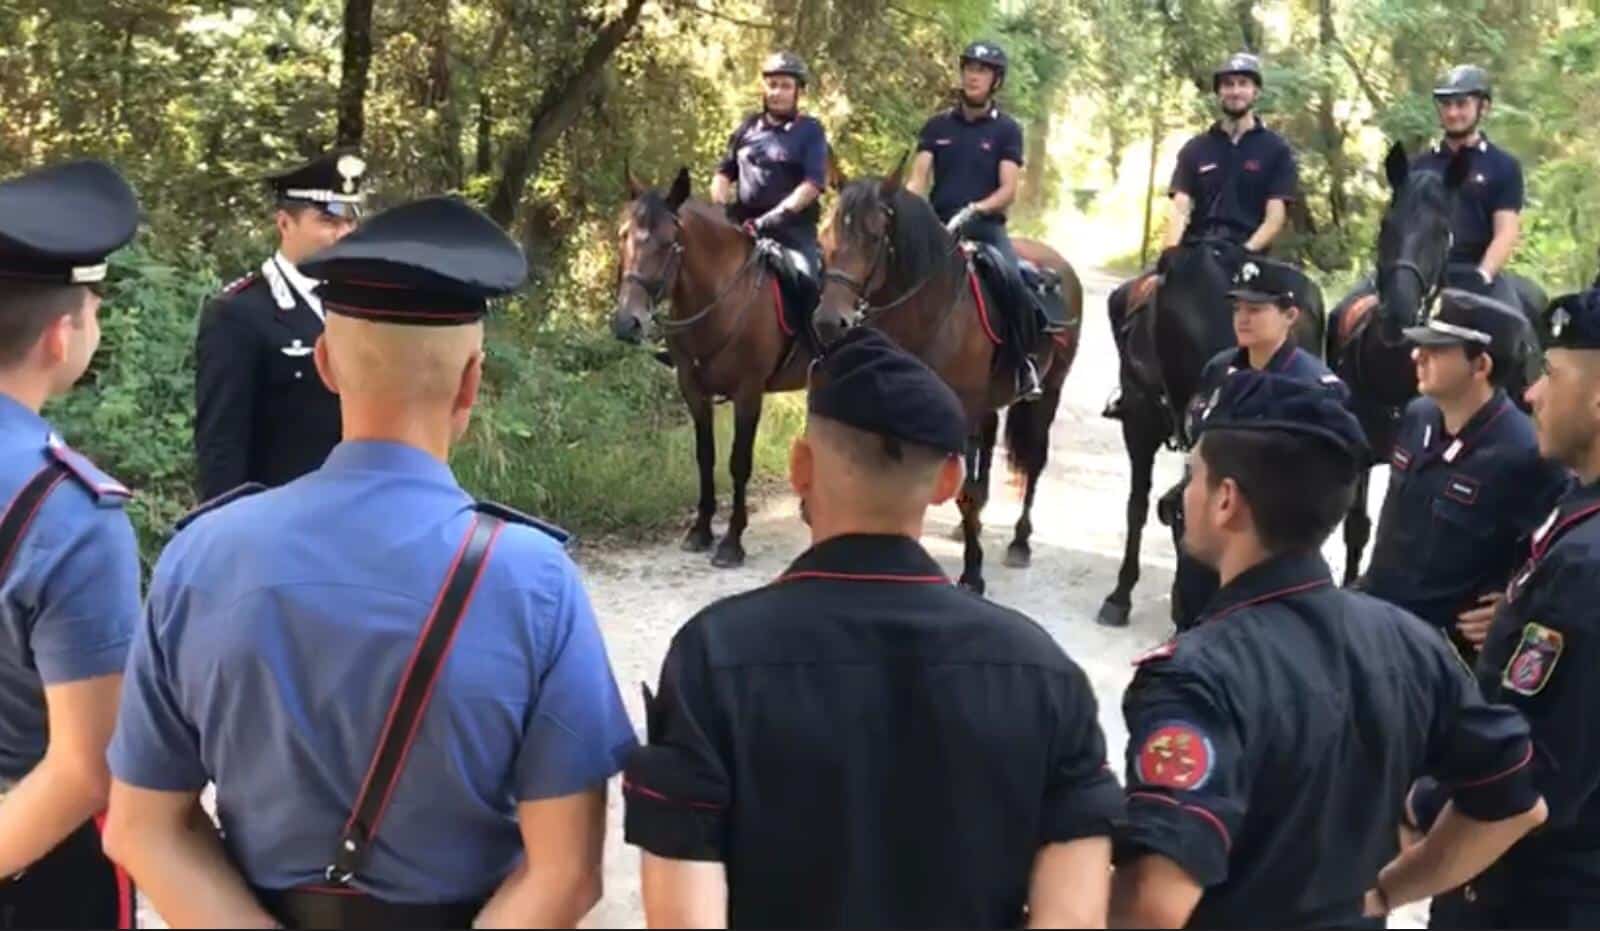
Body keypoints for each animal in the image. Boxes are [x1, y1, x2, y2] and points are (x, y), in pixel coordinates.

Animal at [611, 171, 812, 572]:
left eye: (668, 242)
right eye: (624, 234)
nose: (628, 323)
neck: (722, 300)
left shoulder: (748, 394)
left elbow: (738, 463)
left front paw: (732, 542)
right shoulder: (693, 390)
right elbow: (705, 457)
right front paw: (700, 530)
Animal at [812, 164, 1088, 595]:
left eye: (874, 237)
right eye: (825, 237)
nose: (828, 321)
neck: (933, 316)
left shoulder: (964, 410)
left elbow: (965, 492)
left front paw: (972, 573)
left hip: (1048, 393)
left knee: (1034, 462)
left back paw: (1020, 542)